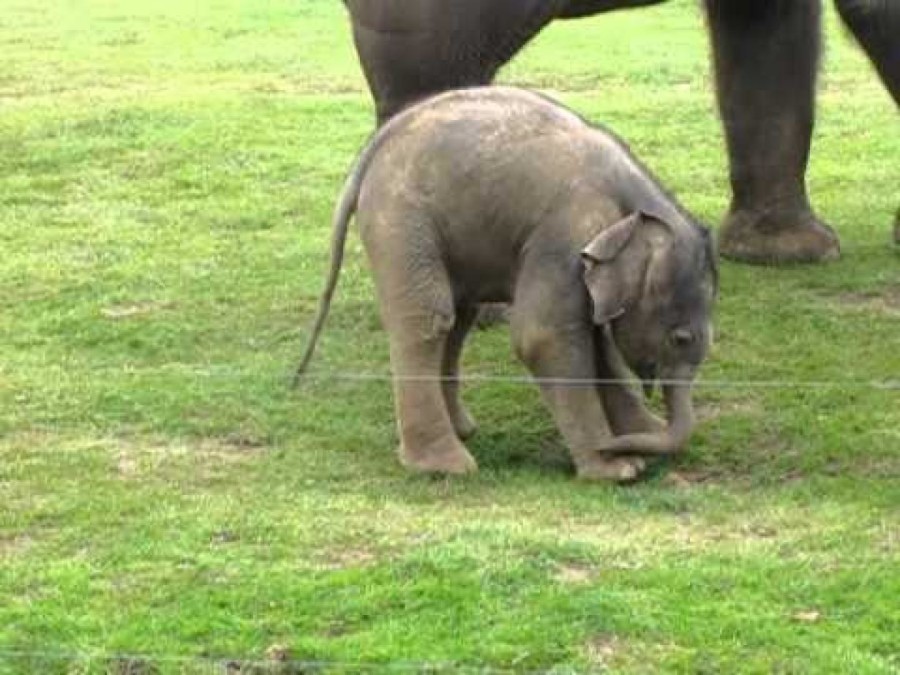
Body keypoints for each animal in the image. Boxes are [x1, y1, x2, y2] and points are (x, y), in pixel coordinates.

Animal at [296, 87, 717, 482]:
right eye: (680, 338)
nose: (617, 446)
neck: (636, 202)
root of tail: (369, 154)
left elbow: (597, 341)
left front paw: (637, 440)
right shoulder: (565, 233)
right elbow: (543, 336)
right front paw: (619, 470)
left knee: (458, 319)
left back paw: (463, 431)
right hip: (400, 218)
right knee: (429, 318)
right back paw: (447, 466)